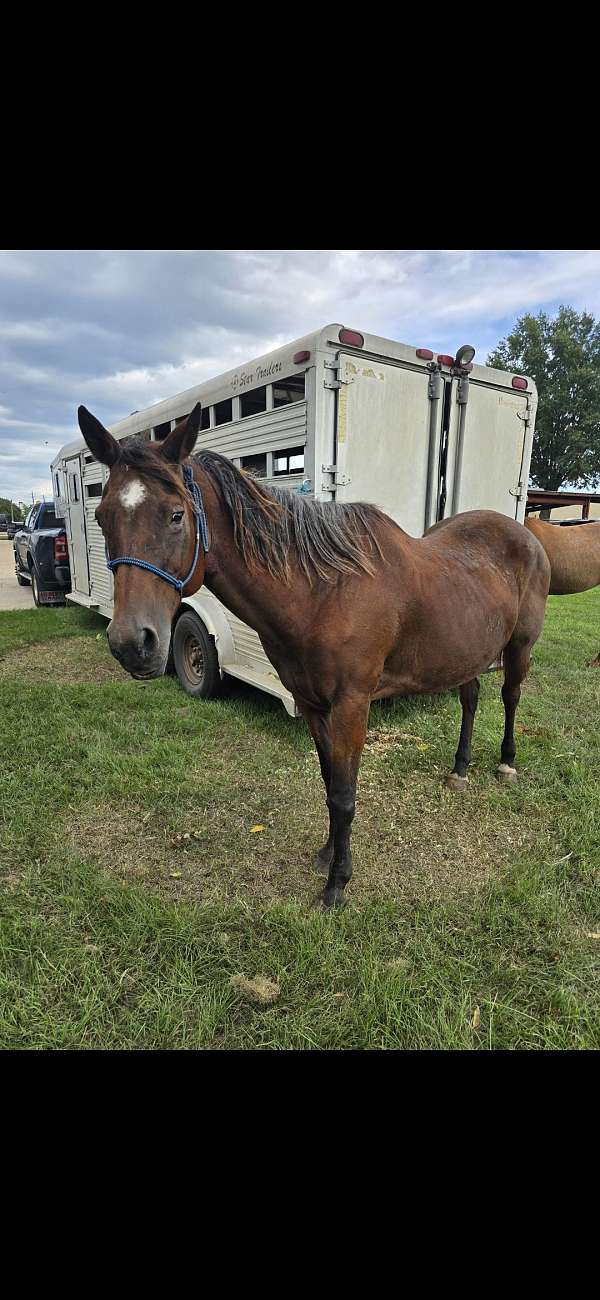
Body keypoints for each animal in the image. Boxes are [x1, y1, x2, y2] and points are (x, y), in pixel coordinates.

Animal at [77, 403, 550, 904]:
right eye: (103, 516)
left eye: (175, 515)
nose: (132, 644)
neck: (323, 592)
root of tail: (524, 532)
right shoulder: (311, 704)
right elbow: (329, 784)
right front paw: (328, 855)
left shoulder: (351, 706)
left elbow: (345, 794)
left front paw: (337, 883)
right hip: (463, 653)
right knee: (470, 698)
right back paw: (460, 768)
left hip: (519, 648)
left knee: (510, 697)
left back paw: (506, 763)